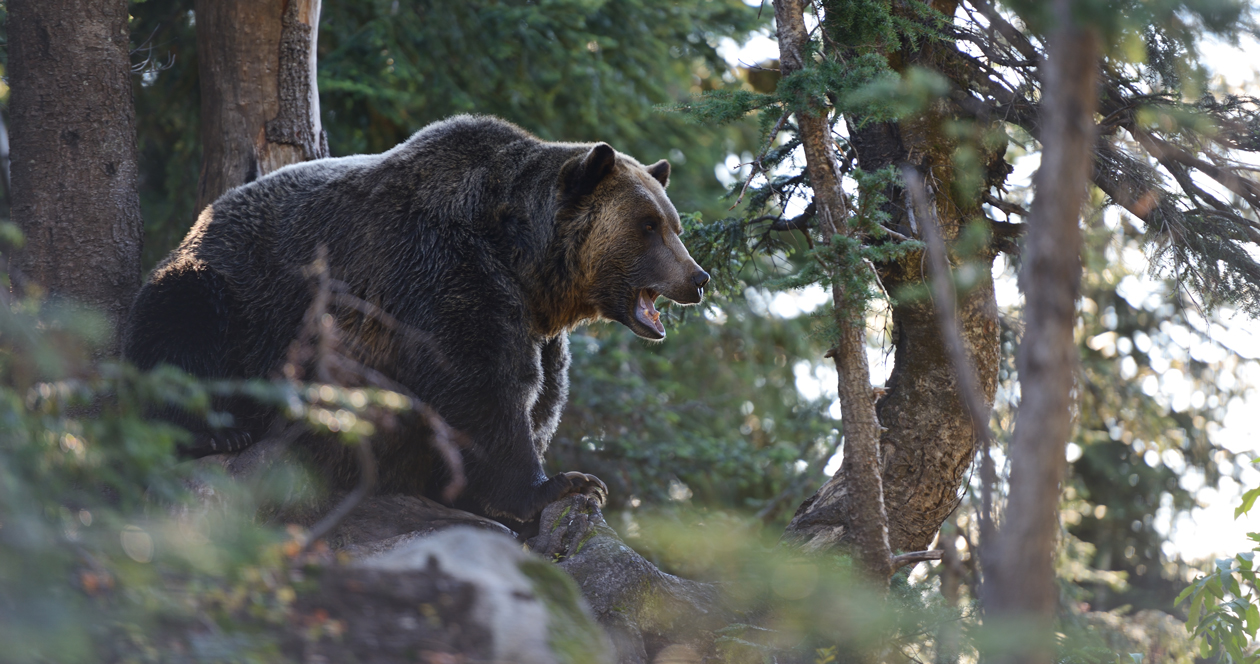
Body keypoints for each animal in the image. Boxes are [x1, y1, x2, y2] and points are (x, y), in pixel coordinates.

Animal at [123, 115, 710, 524]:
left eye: (673, 224)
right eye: (648, 225)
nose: (699, 277)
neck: (526, 263)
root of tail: (204, 216)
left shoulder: (535, 325)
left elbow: (542, 394)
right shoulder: (441, 271)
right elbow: (481, 388)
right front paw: (564, 483)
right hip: (236, 292)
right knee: (182, 328)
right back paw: (214, 432)